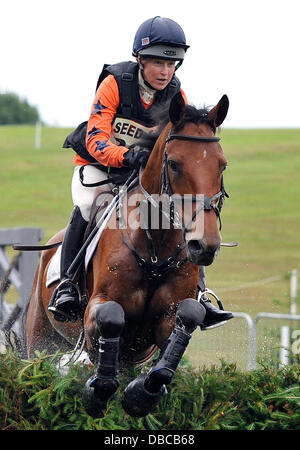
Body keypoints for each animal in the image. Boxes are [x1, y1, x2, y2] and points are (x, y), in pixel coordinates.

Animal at [24, 92, 230, 418]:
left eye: (222, 165)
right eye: (174, 164)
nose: (205, 245)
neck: (155, 248)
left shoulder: (165, 321)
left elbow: (186, 320)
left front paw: (141, 395)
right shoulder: (95, 311)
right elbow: (111, 316)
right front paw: (97, 394)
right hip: (41, 340)